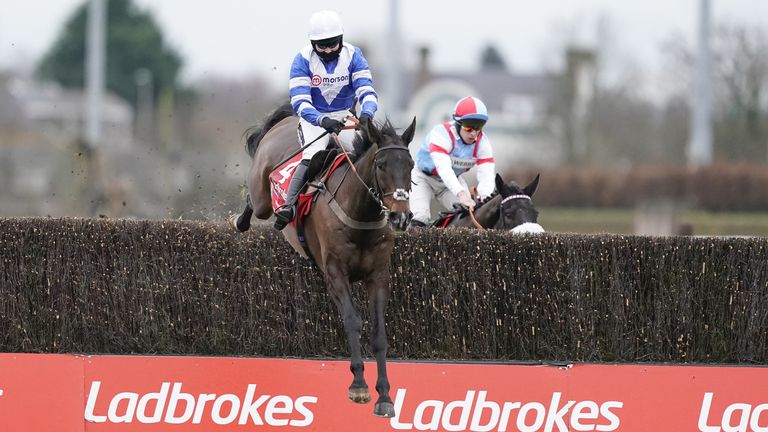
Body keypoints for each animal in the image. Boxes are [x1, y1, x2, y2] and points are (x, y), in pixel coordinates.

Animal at [234, 103, 416, 416]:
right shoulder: (335, 271)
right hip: (262, 197)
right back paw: (241, 220)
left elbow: (379, 332)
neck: (358, 213)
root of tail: (285, 120)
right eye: (381, 165)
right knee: (253, 203)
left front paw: (384, 397)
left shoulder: (378, 275)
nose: (400, 217)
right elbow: (352, 321)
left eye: (411, 165)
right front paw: (358, 386)